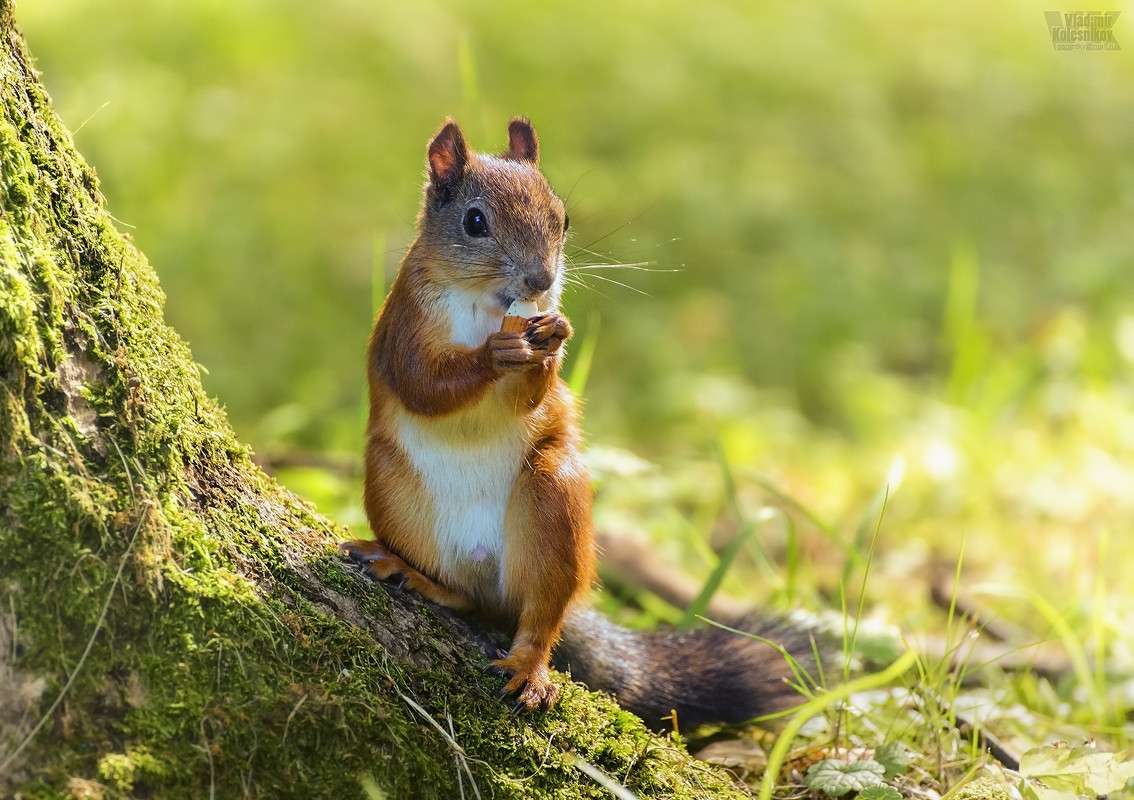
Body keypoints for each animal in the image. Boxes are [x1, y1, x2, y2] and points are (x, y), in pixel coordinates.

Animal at [340, 115, 811, 726]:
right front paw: (495, 353)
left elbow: (531, 398)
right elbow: (426, 384)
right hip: (391, 491)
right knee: (470, 599)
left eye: (562, 218)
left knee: (538, 614)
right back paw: (411, 571)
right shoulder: (406, 324)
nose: (541, 282)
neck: (487, 306)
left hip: (553, 500)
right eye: (474, 221)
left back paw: (529, 667)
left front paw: (553, 337)